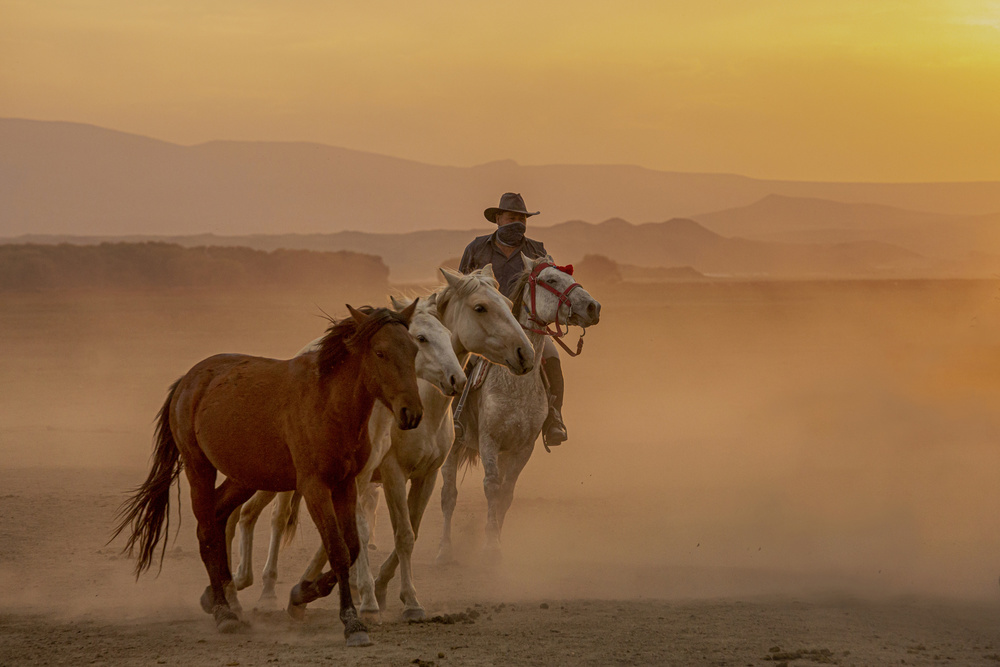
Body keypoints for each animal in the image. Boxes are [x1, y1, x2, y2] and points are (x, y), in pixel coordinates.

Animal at [112, 304, 422, 648]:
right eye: (380, 352)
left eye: (414, 349)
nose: (412, 413)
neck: (328, 402)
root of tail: (189, 380)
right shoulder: (314, 487)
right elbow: (338, 550)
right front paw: (352, 623)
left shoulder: (345, 484)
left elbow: (352, 546)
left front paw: (304, 592)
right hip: (198, 468)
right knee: (206, 531)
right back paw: (224, 612)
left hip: (245, 477)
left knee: (218, 517)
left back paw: (223, 596)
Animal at [229, 264, 536, 620]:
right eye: (480, 307)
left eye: (507, 302)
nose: (525, 354)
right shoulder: (391, 473)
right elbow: (399, 534)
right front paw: (395, 599)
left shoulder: (426, 475)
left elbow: (409, 531)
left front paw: (384, 590)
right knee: (268, 517)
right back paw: (263, 591)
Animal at [436, 256, 600, 564]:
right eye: (551, 280)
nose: (593, 307)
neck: (515, 385)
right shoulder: (489, 441)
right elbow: (491, 487)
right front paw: (490, 547)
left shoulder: (522, 448)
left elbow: (506, 494)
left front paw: (496, 540)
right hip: (453, 449)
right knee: (448, 495)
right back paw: (445, 551)